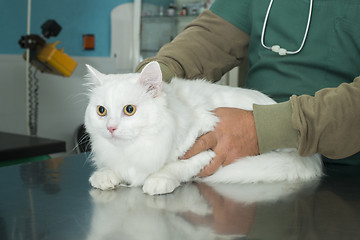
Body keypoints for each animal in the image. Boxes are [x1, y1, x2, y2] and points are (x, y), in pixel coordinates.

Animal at [85, 61, 324, 195]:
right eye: (101, 111)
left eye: (129, 110)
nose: (111, 128)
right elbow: (109, 168)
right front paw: (104, 176)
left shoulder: (206, 152)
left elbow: (173, 167)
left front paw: (157, 181)